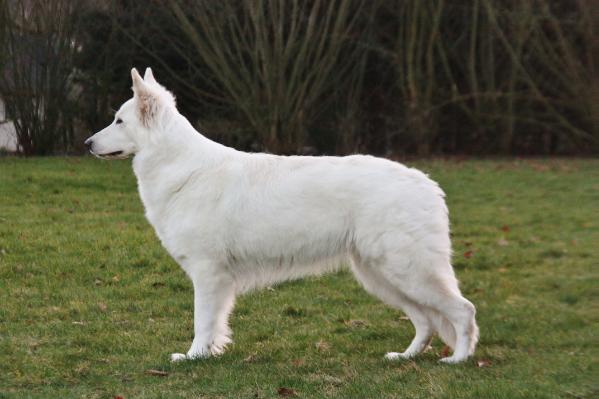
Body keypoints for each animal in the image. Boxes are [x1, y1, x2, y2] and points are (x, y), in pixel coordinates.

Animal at [85, 68, 478, 366]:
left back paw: (457, 360)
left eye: (119, 121)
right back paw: (407, 357)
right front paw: (210, 353)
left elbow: (202, 320)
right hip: (381, 274)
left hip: (406, 270)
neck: (179, 165)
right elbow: (215, 323)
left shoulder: (208, 273)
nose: (87, 144)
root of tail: (428, 183)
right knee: (426, 321)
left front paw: (194, 356)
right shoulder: (218, 278)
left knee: (463, 310)